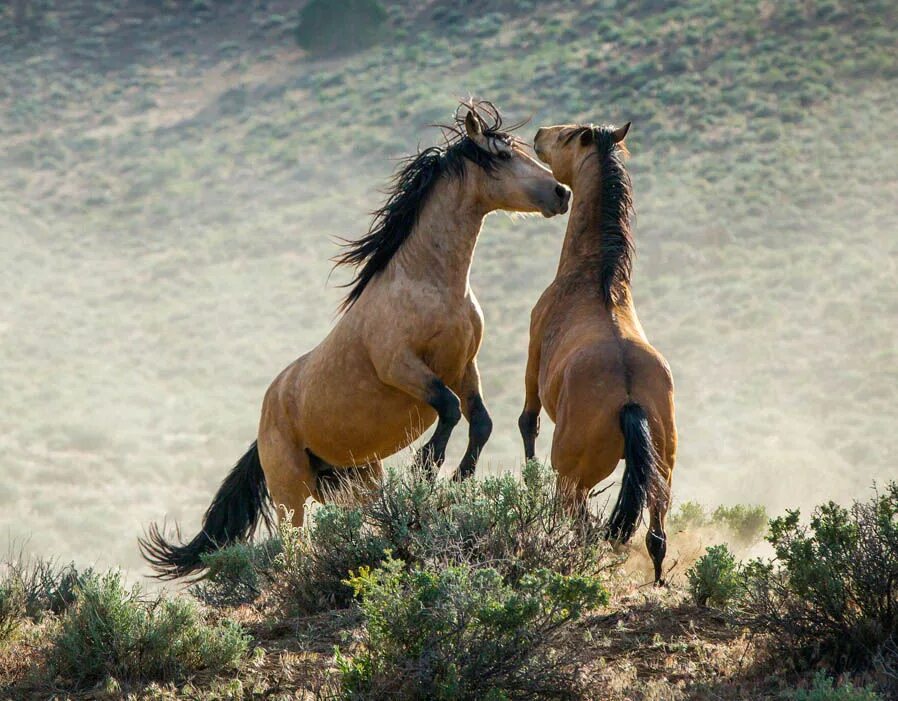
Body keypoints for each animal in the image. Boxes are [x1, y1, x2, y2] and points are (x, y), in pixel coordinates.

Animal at [140, 101, 568, 576]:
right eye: (503, 155)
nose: (561, 193)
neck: (431, 284)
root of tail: (265, 419)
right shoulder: (402, 366)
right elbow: (449, 410)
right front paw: (426, 469)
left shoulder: (463, 367)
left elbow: (480, 422)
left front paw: (458, 480)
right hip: (290, 493)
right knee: (293, 544)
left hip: (353, 481)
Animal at [520, 123, 672, 584]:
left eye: (568, 136)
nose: (539, 133)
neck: (594, 277)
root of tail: (629, 398)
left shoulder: (533, 354)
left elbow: (528, 421)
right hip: (662, 474)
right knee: (656, 535)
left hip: (572, 475)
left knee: (575, 519)